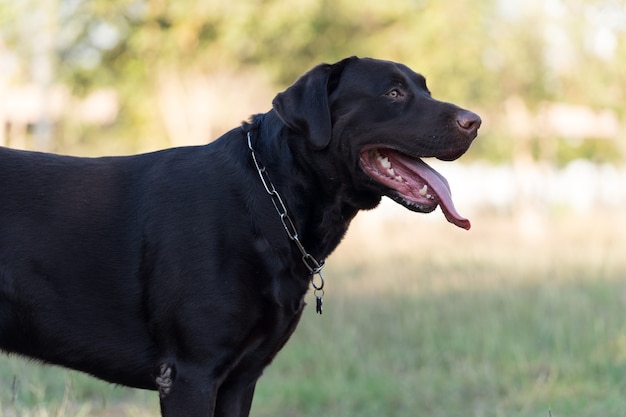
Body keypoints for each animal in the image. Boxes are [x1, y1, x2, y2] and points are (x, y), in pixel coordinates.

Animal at [0, 57, 478, 414]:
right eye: (393, 93)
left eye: (426, 89)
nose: (475, 121)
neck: (268, 200)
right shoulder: (189, 373)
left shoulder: (241, 377)